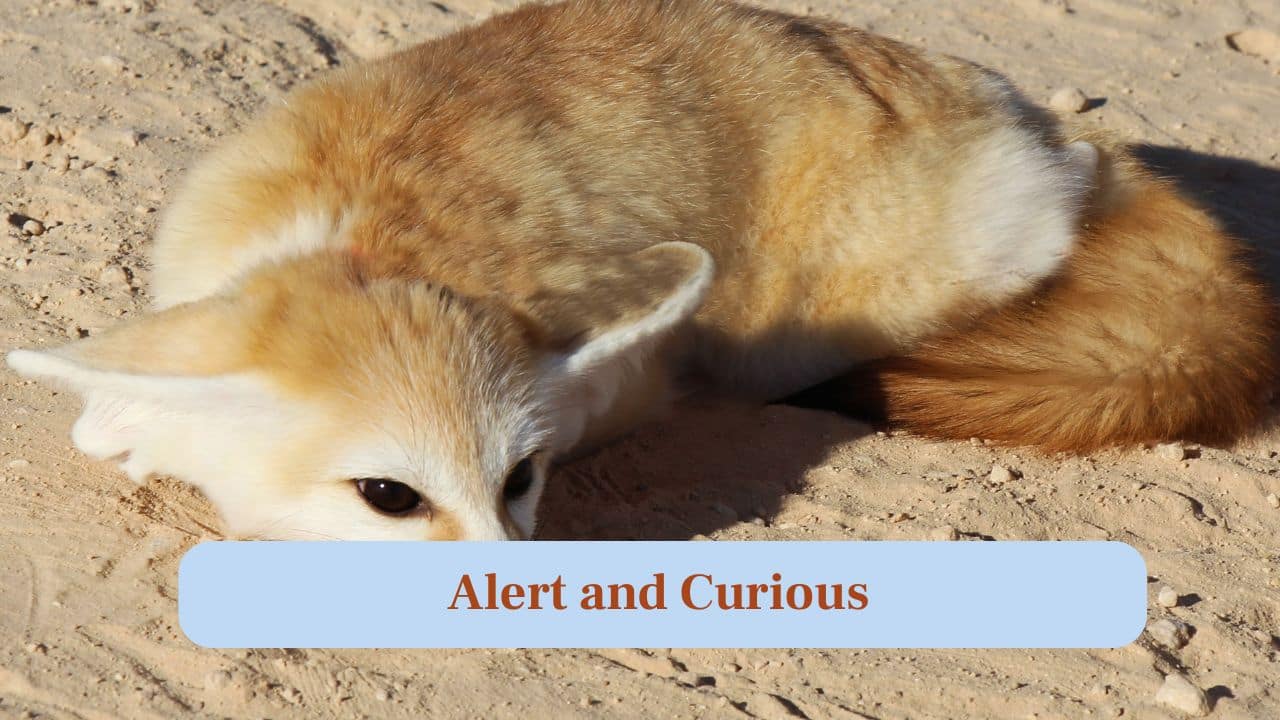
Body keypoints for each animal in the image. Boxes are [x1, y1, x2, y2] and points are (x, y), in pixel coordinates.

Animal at [5, 0, 1275, 541]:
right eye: (390, 496)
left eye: (522, 481)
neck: (361, 241)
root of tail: (1058, 133)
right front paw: (136, 424)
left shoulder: (617, 380)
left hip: (813, 327)